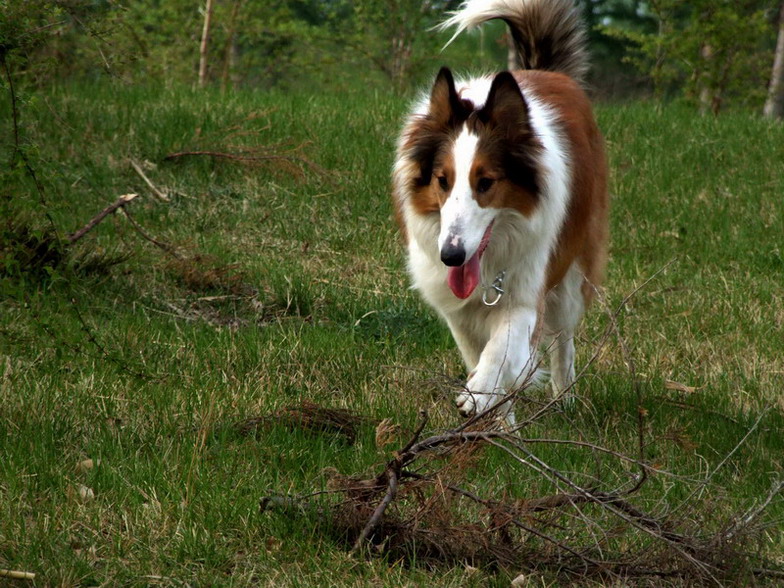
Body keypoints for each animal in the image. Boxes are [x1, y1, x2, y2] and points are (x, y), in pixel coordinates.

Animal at [390, 0, 608, 422]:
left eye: (486, 182)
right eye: (442, 180)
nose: (451, 255)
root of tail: (548, 72)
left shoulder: (525, 293)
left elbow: (501, 350)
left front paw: (479, 394)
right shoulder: (458, 312)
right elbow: (480, 356)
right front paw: (495, 418)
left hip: (571, 271)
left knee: (564, 340)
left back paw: (564, 397)